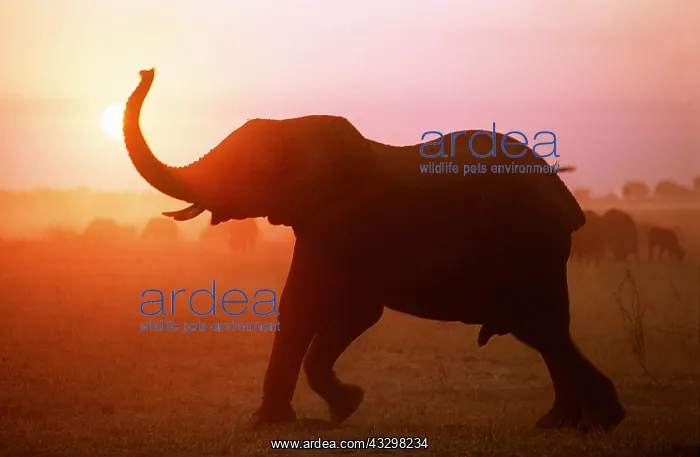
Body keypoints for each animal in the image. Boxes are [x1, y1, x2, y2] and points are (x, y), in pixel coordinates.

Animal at [121, 68, 625, 432]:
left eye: (242, 167)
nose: (147, 70)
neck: (301, 129)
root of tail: (565, 198)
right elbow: (316, 308)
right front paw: (299, 416)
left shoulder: (346, 226)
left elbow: (332, 308)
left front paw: (332, 409)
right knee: (546, 333)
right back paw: (563, 423)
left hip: (529, 249)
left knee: (542, 330)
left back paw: (597, 422)